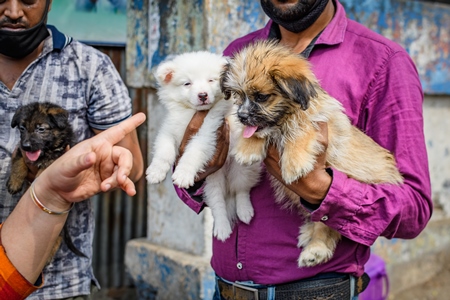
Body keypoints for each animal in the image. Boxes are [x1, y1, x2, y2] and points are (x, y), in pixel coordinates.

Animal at [146, 51, 262, 239]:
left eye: (211, 80)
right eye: (187, 83)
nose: (202, 95)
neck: (192, 113)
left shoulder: (208, 134)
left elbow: (192, 154)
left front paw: (183, 174)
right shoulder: (169, 131)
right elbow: (164, 151)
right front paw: (156, 172)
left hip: (241, 169)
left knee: (241, 190)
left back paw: (244, 211)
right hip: (211, 181)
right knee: (217, 203)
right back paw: (222, 227)